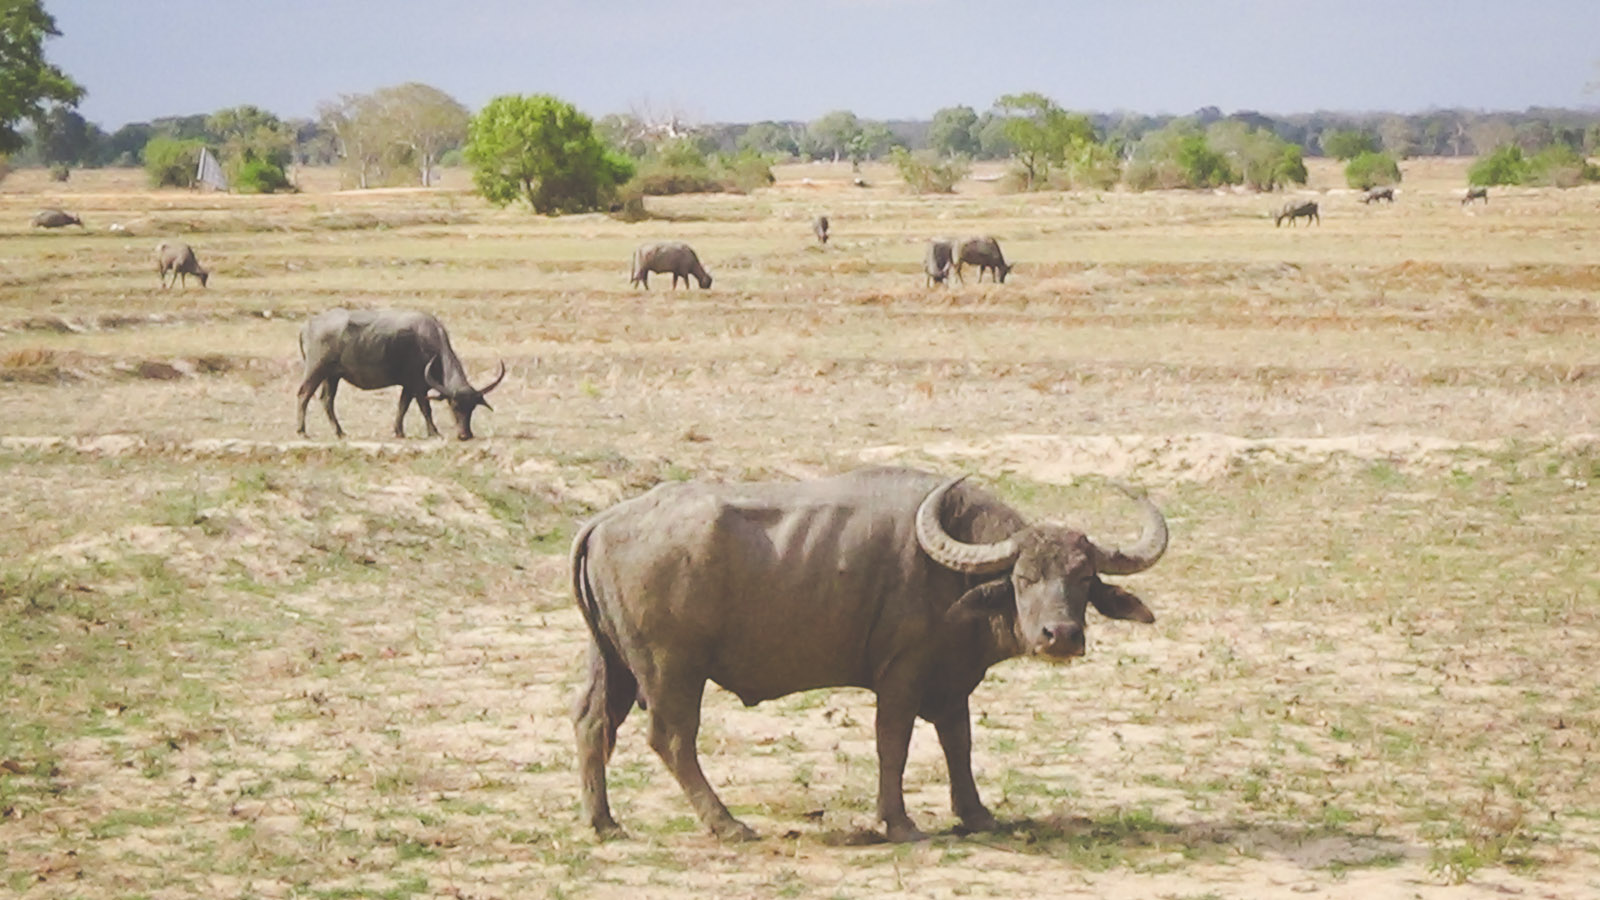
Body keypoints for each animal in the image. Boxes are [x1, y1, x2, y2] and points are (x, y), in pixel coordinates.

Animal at [297, 305, 502, 438]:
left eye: (472, 407)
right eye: (454, 406)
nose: (465, 435)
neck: (428, 343)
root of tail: (308, 324)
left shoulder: (408, 387)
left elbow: (402, 407)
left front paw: (399, 431)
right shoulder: (418, 386)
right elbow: (425, 408)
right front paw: (434, 432)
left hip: (332, 376)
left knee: (327, 400)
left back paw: (339, 432)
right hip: (315, 370)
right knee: (304, 395)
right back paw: (302, 431)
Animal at [569, 464, 1171, 839]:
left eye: (1084, 578)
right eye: (1023, 578)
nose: (1060, 635)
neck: (949, 577)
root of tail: (606, 519)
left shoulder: (952, 682)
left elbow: (959, 744)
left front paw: (976, 815)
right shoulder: (901, 676)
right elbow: (893, 744)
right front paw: (899, 822)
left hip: (613, 662)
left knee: (593, 723)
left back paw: (604, 823)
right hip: (671, 668)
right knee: (671, 738)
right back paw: (727, 824)